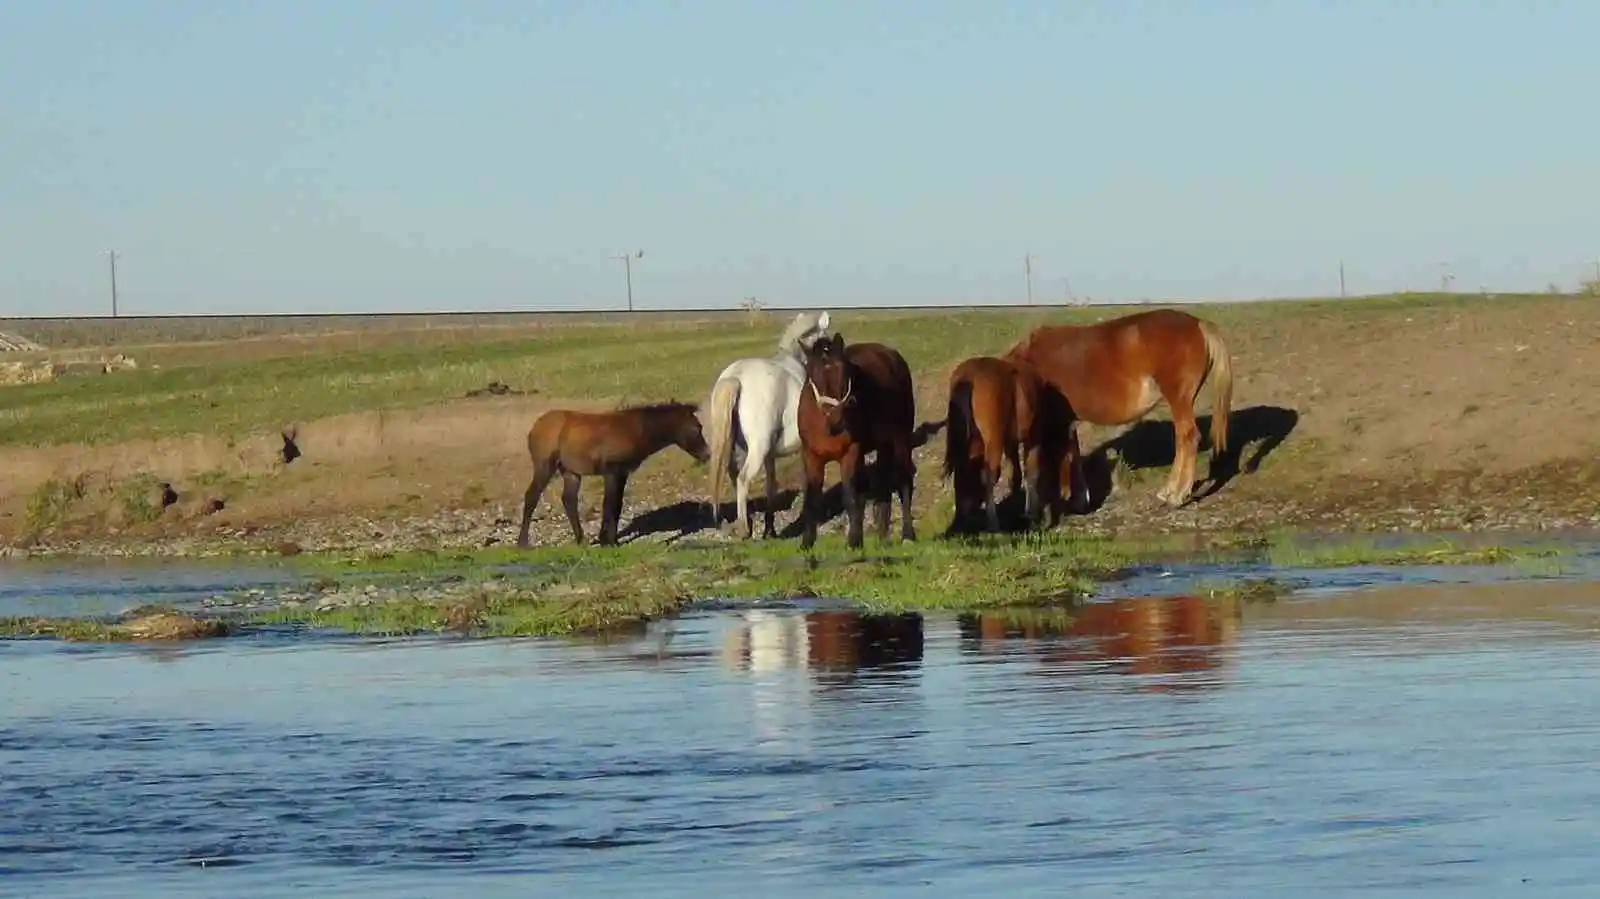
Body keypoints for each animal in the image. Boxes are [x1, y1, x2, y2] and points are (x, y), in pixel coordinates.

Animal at [515, 399, 710, 547]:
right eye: (696, 428)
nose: (707, 455)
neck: (634, 429)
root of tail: (535, 427)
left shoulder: (622, 473)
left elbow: (616, 505)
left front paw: (608, 539)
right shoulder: (612, 472)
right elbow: (610, 504)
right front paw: (609, 541)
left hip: (570, 472)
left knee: (569, 500)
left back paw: (581, 539)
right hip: (545, 466)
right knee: (531, 496)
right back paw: (523, 543)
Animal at [710, 307, 838, 534]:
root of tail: (736, 377)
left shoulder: (770, 455)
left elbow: (771, 485)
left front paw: (770, 528)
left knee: (734, 475)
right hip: (757, 448)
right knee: (743, 478)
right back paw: (744, 530)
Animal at [796, 332, 921, 550]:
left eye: (844, 371)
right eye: (812, 375)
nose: (836, 419)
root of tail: (890, 354)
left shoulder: (850, 453)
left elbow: (851, 496)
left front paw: (854, 540)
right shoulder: (811, 457)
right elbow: (811, 496)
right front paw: (807, 542)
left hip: (900, 439)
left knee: (903, 480)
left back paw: (907, 534)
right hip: (883, 445)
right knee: (882, 484)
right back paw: (882, 534)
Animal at [934, 351, 1088, 531]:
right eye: (1070, 457)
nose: (1067, 494)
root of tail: (969, 376)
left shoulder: (1010, 443)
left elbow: (1015, 476)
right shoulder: (1033, 438)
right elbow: (1031, 472)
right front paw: (1032, 515)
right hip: (994, 443)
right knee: (988, 475)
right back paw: (993, 524)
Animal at [998, 305, 1235, 505]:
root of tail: (1197, 323)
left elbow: (1067, 456)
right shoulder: (1066, 421)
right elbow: (1072, 454)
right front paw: (1080, 496)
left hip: (1178, 399)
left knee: (1188, 438)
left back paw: (1177, 495)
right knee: (1181, 439)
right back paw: (1169, 491)